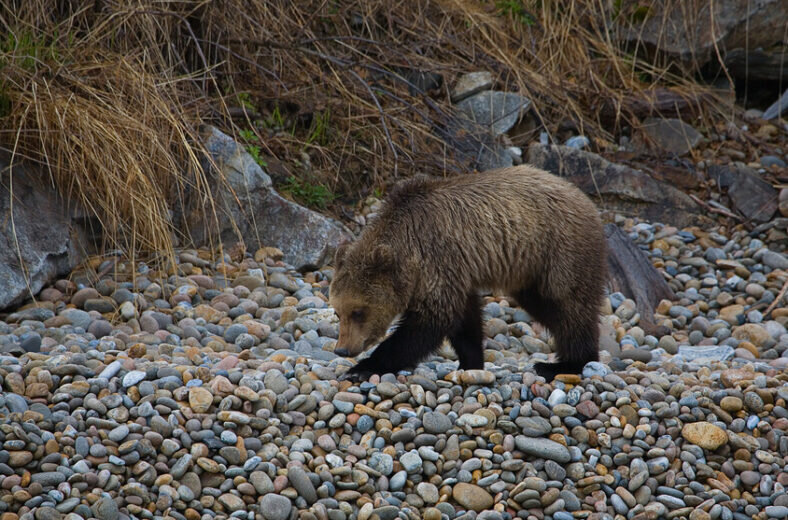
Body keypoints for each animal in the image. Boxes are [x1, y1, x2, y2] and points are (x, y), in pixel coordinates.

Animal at [330, 165, 608, 380]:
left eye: (358, 311)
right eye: (337, 312)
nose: (342, 349)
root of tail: (585, 199)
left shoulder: (437, 260)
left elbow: (429, 322)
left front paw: (362, 368)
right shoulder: (456, 272)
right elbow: (465, 321)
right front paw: (470, 363)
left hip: (558, 252)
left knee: (570, 306)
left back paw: (563, 364)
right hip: (530, 273)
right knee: (547, 308)